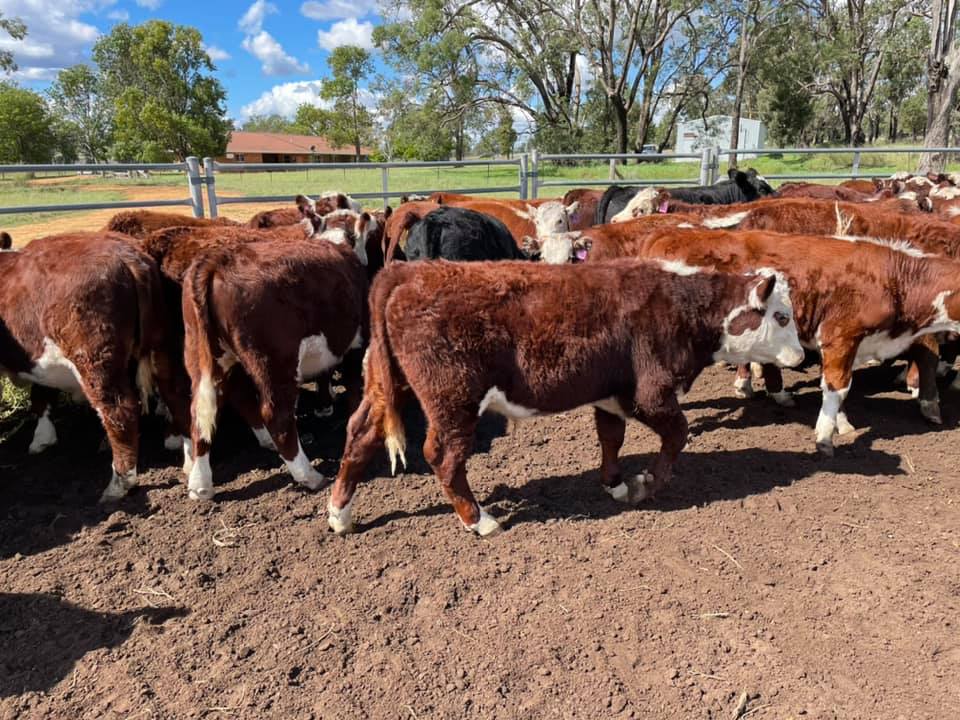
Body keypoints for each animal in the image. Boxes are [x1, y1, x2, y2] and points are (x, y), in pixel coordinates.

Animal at [0, 233, 189, 500]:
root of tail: (130, 257)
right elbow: (41, 394)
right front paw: (42, 438)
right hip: (161, 347)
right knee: (176, 395)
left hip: (95, 362)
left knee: (120, 412)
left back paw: (119, 483)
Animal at [181, 238, 368, 501]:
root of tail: (216, 260)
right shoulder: (356, 343)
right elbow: (352, 386)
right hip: (274, 362)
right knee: (276, 416)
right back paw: (310, 476)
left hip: (202, 356)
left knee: (202, 412)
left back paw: (201, 486)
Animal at [325, 259, 803, 536]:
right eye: (781, 316)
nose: (800, 355)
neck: (682, 304)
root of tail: (408, 271)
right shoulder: (651, 393)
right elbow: (677, 435)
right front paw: (644, 485)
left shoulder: (609, 394)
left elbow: (611, 438)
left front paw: (614, 482)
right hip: (454, 400)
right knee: (443, 456)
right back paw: (478, 519)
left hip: (389, 387)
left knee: (360, 434)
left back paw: (339, 513)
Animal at [580, 223, 960, 453]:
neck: (894, 278)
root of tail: (667, 232)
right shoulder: (840, 336)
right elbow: (837, 387)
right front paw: (825, 435)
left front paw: (841, 423)